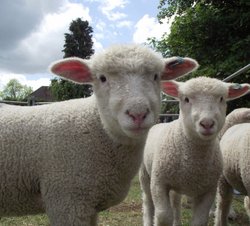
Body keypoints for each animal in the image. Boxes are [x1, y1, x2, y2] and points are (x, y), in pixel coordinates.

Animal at [140, 77, 249, 226]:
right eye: (186, 99)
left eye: (221, 98)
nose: (207, 123)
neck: (192, 164)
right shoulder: (159, 182)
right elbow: (163, 216)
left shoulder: (208, 190)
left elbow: (200, 220)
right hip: (145, 174)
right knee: (148, 202)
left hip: (177, 184)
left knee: (176, 203)